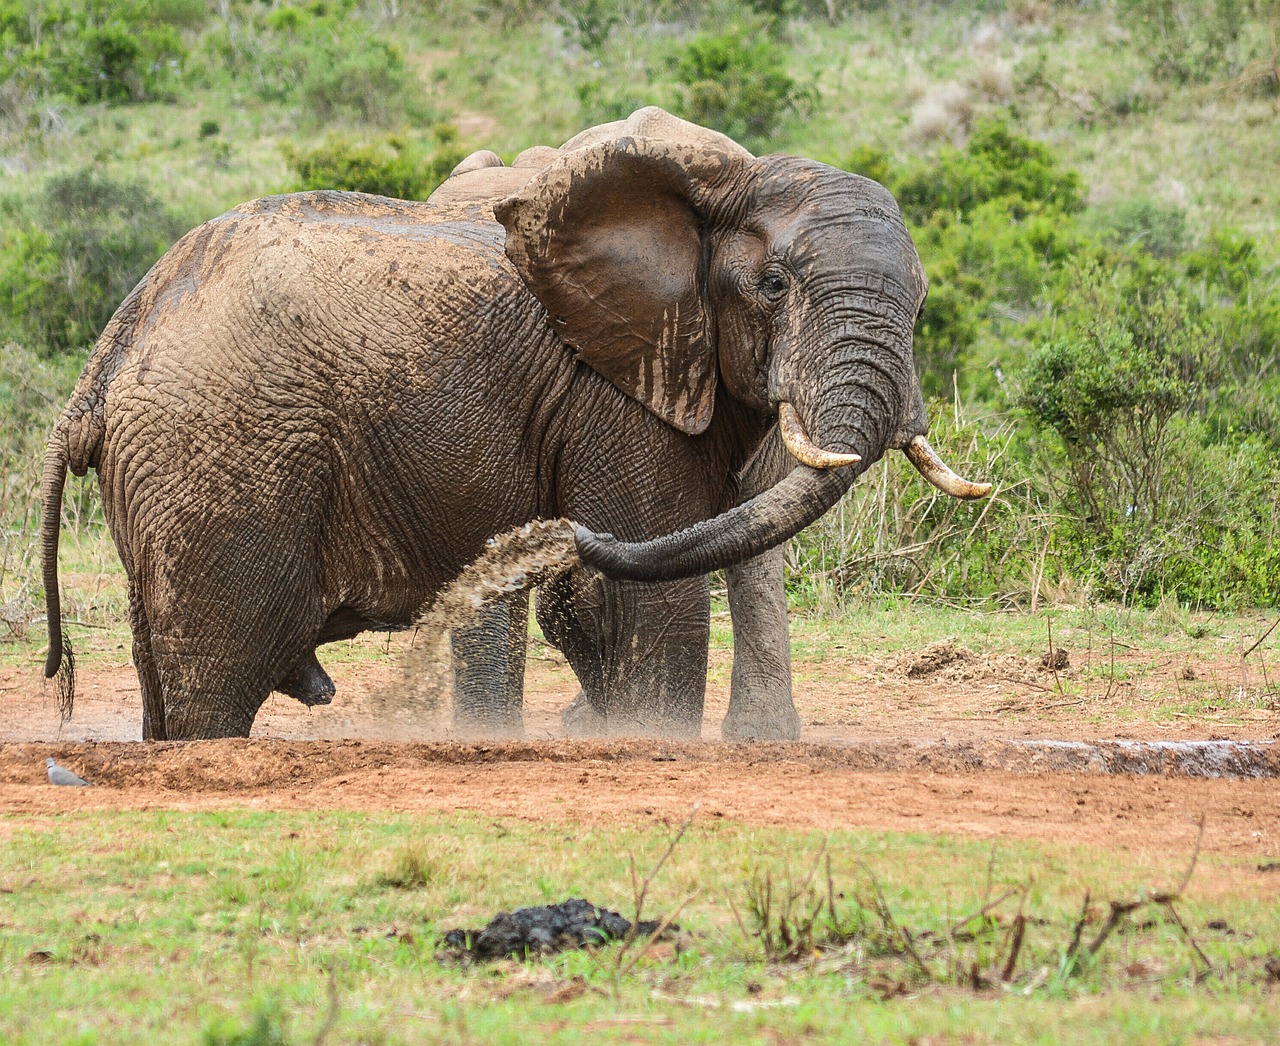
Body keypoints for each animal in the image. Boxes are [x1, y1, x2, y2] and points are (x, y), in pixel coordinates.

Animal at [37, 106, 977, 737]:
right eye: (775, 285)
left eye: (925, 302)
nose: (554, 534)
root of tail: (110, 353)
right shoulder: (612, 395)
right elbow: (658, 597)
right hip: (222, 456)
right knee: (216, 678)